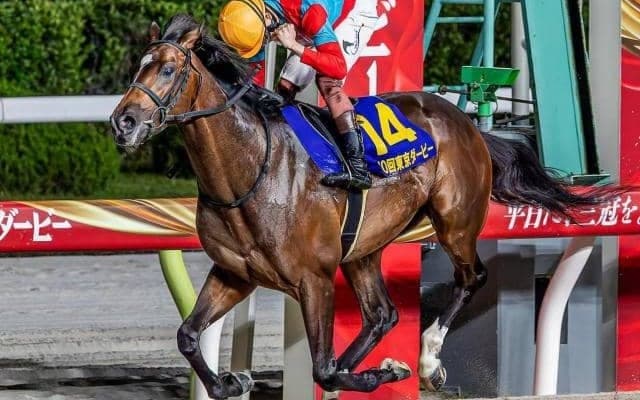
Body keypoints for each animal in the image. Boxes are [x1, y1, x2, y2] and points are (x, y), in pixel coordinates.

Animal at [110, 14, 619, 399]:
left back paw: (426, 359)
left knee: (470, 277)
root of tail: (466, 122)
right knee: (382, 315)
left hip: (455, 221)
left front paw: (385, 371)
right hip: (364, 247)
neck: (252, 167)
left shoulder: (313, 278)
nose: (123, 122)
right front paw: (232, 382)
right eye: (138, 66)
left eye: (168, 70)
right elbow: (188, 335)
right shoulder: (235, 273)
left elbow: (321, 367)